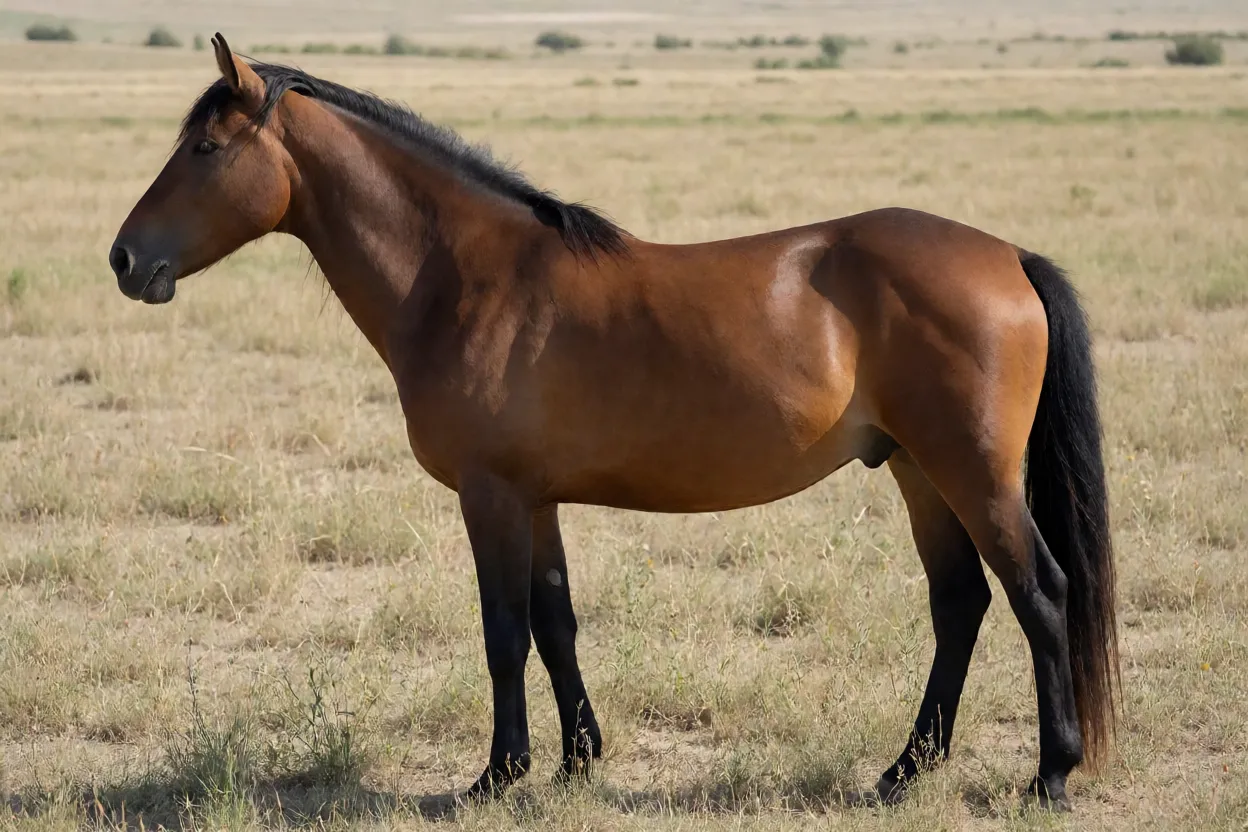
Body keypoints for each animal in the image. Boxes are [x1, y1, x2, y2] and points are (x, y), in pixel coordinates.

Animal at [109, 34, 1118, 812]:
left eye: (205, 147)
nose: (123, 259)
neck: (466, 276)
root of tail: (1009, 256)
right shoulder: (537, 499)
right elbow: (556, 622)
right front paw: (575, 762)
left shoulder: (491, 497)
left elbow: (503, 631)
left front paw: (497, 776)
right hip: (917, 470)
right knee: (960, 605)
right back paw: (903, 772)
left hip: (973, 472)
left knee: (1040, 594)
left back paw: (1048, 777)